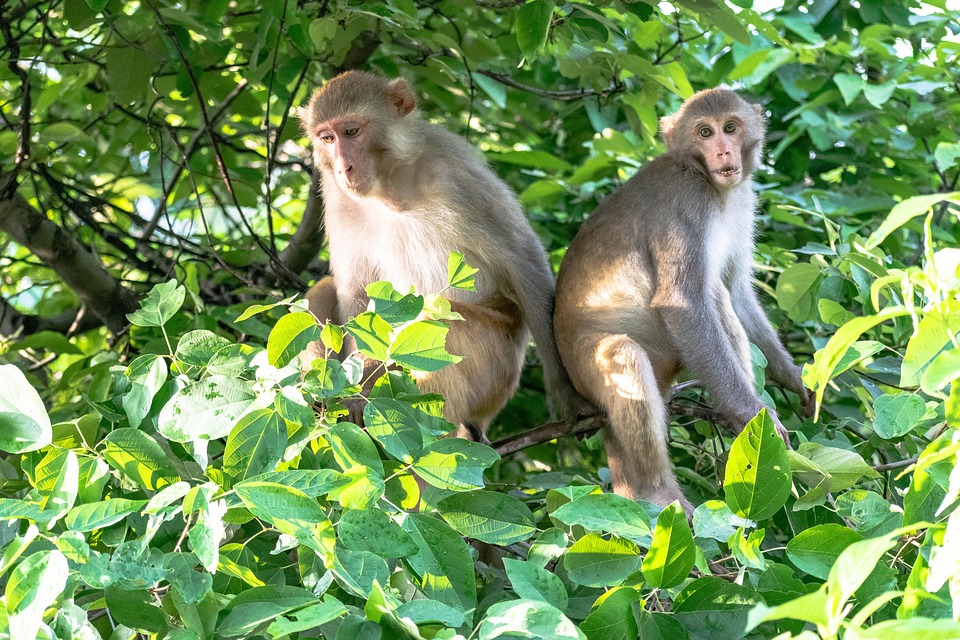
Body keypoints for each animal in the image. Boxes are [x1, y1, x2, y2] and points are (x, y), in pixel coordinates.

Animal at [297, 71, 594, 442]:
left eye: (351, 132)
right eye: (327, 137)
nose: (343, 167)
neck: (392, 186)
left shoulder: (458, 175)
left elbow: (523, 263)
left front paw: (569, 398)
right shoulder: (337, 196)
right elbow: (356, 292)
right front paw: (354, 394)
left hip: (496, 372)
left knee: (439, 322)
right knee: (321, 293)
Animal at [553, 88, 814, 512]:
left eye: (730, 127)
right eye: (705, 133)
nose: (723, 151)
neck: (704, 178)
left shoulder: (744, 202)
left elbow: (737, 291)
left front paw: (792, 378)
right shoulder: (686, 205)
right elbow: (682, 303)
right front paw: (754, 412)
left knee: (718, 293)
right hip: (588, 373)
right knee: (627, 352)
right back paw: (660, 490)